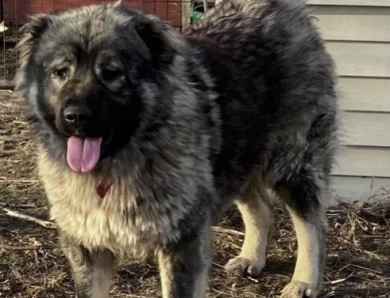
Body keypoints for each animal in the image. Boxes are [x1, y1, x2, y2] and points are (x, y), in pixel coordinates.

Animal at [15, 0, 338, 296]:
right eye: (61, 71)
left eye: (111, 73)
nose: (76, 117)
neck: (118, 162)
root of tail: (277, 7)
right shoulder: (87, 245)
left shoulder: (182, 241)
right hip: (238, 160)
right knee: (261, 208)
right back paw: (251, 258)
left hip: (292, 163)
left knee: (312, 225)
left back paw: (304, 281)